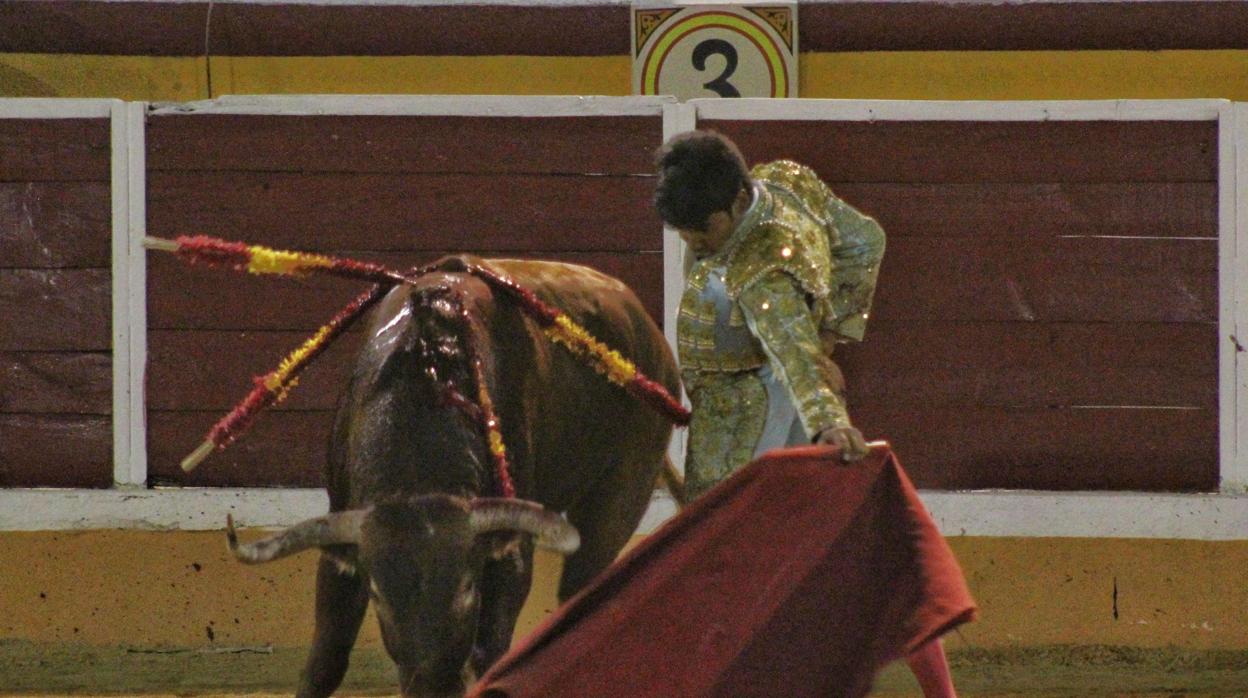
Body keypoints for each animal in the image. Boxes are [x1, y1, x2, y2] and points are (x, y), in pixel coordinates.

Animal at [219, 258, 678, 698]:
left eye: (467, 588)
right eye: (378, 594)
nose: (432, 686)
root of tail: (646, 326)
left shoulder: (510, 552)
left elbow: (491, 652)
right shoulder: (341, 548)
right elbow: (324, 663)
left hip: (623, 492)